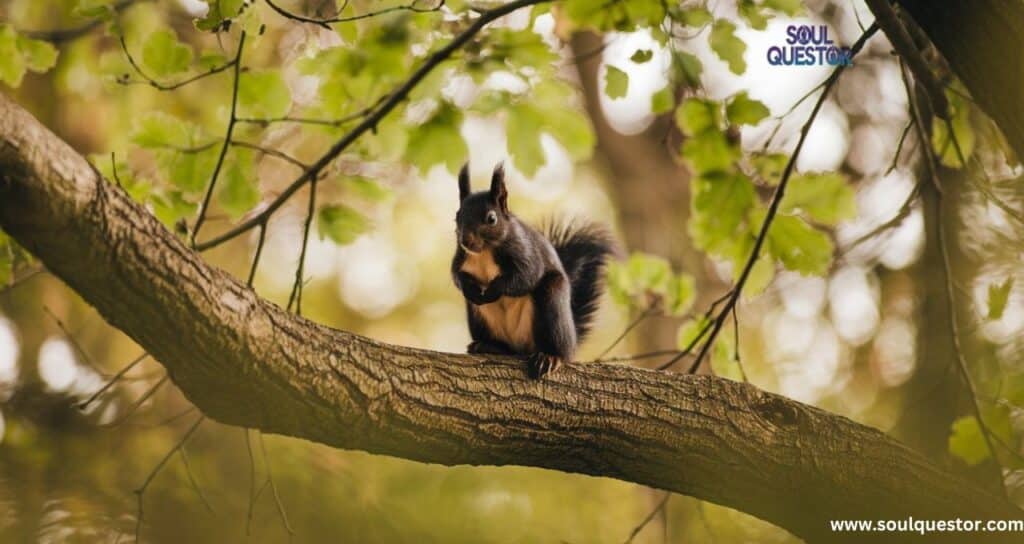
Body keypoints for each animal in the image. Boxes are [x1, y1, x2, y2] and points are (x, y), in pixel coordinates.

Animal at [454, 162, 614, 379]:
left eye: (491, 218)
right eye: (457, 216)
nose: (466, 240)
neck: (484, 252)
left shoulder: (526, 253)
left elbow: (524, 277)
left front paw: (493, 290)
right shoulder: (460, 258)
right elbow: (457, 276)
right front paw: (470, 289)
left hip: (552, 303)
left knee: (557, 348)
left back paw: (550, 357)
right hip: (479, 317)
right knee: (505, 347)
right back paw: (490, 346)